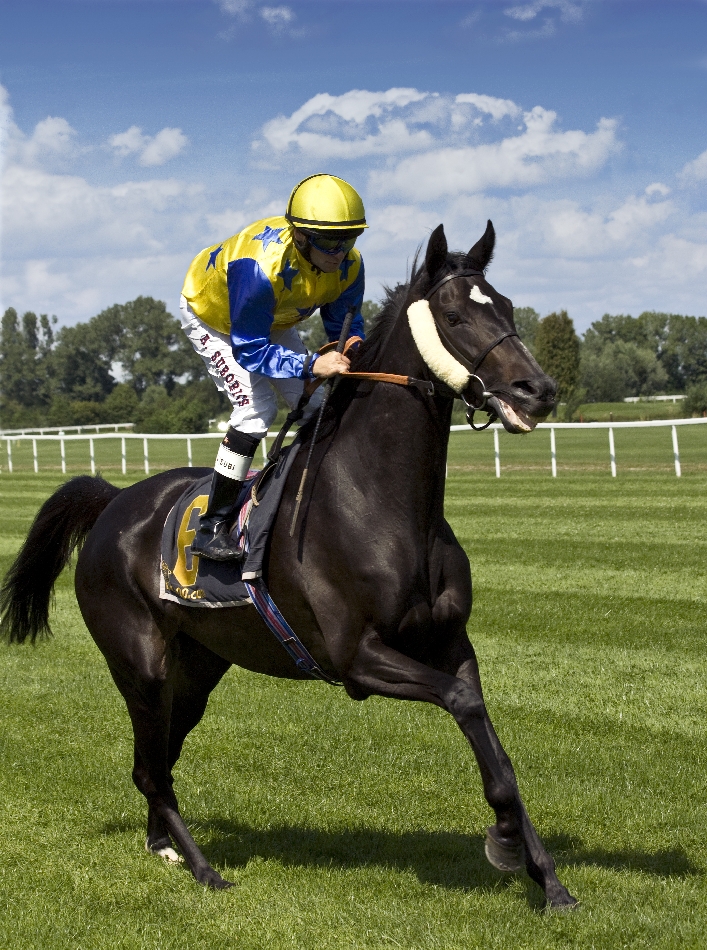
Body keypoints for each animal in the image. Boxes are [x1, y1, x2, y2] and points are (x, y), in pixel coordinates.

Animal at [0, 219, 576, 912]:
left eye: (509, 308)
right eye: (455, 314)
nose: (537, 391)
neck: (380, 502)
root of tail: (114, 502)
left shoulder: (450, 643)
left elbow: (493, 745)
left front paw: (545, 875)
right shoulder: (357, 657)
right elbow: (462, 703)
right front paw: (506, 844)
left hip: (198, 664)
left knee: (158, 756)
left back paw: (163, 844)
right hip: (138, 660)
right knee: (149, 767)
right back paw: (204, 868)